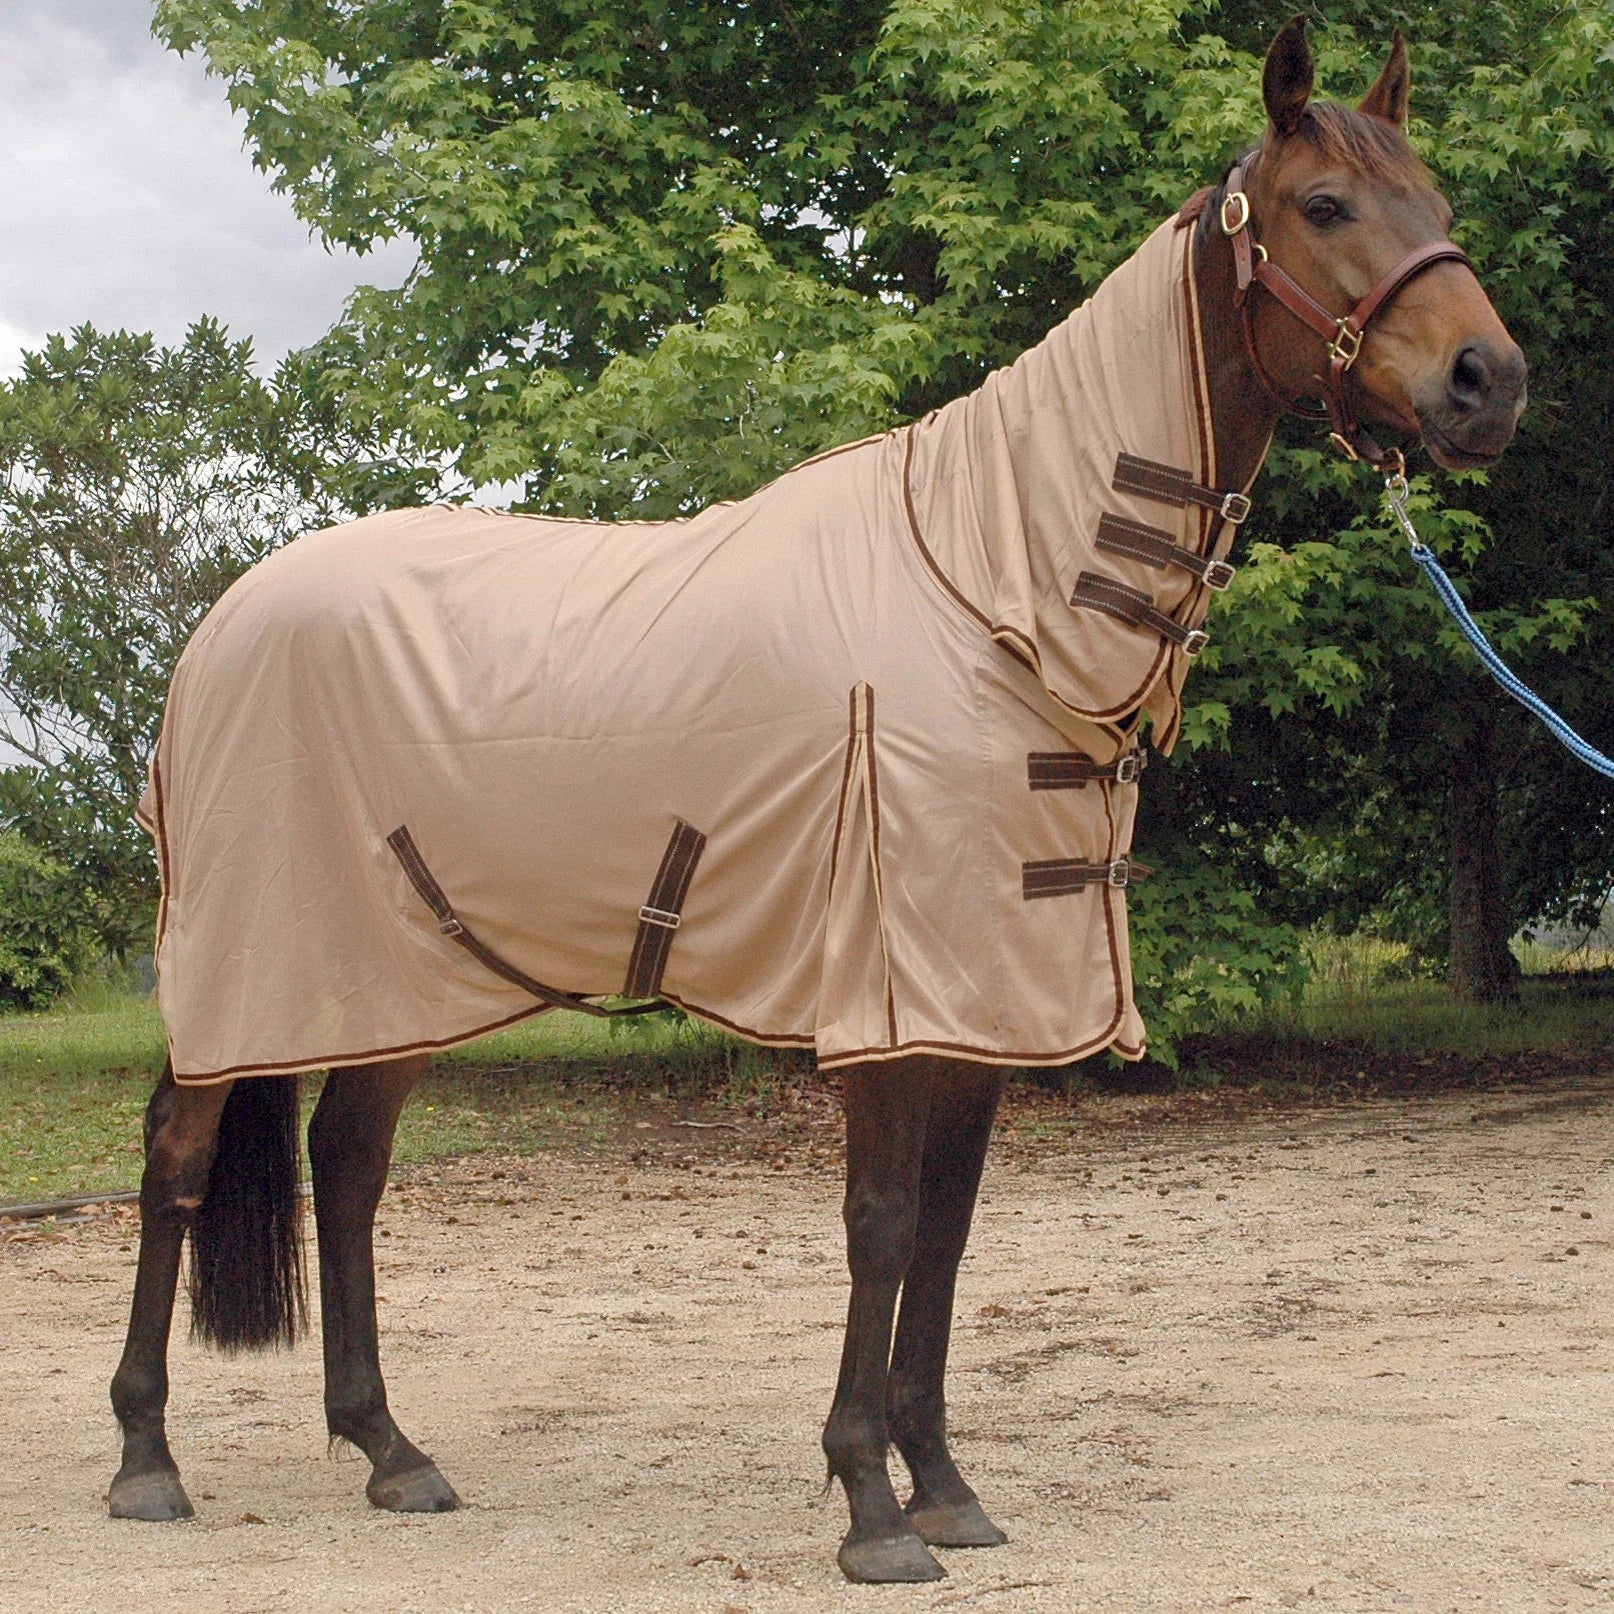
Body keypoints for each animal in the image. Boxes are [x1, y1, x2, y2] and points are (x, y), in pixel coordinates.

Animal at [108, 18, 1525, 1585]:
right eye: (1325, 206)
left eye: (1434, 196)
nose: (1488, 381)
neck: (993, 582)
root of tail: (217, 628)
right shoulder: (891, 1000)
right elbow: (882, 1226)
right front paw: (869, 1508)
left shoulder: (984, 1003)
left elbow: (948, 1238)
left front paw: (944, 1484)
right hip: (246, 970)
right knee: (177, 1165)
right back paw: (147, 1461)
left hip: (393, 975)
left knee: (347, 1168)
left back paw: (390, 1452)